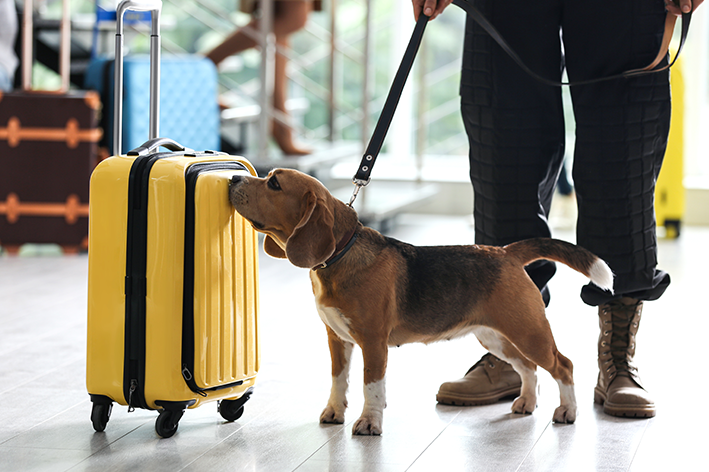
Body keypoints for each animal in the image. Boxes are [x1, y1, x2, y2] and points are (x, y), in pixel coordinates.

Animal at [228, 169, 612, 436]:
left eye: (274, 184)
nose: (233, 177)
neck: (341, 254)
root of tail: (505, 252)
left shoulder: (373, 343)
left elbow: (371, 386)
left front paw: (370, 423)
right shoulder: (337, 339)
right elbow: (339, 380)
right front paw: (335, 412)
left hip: (529, 332)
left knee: (563, 365)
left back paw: (568, 412)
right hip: (496, 337)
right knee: (528, 368)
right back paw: (528, 403)